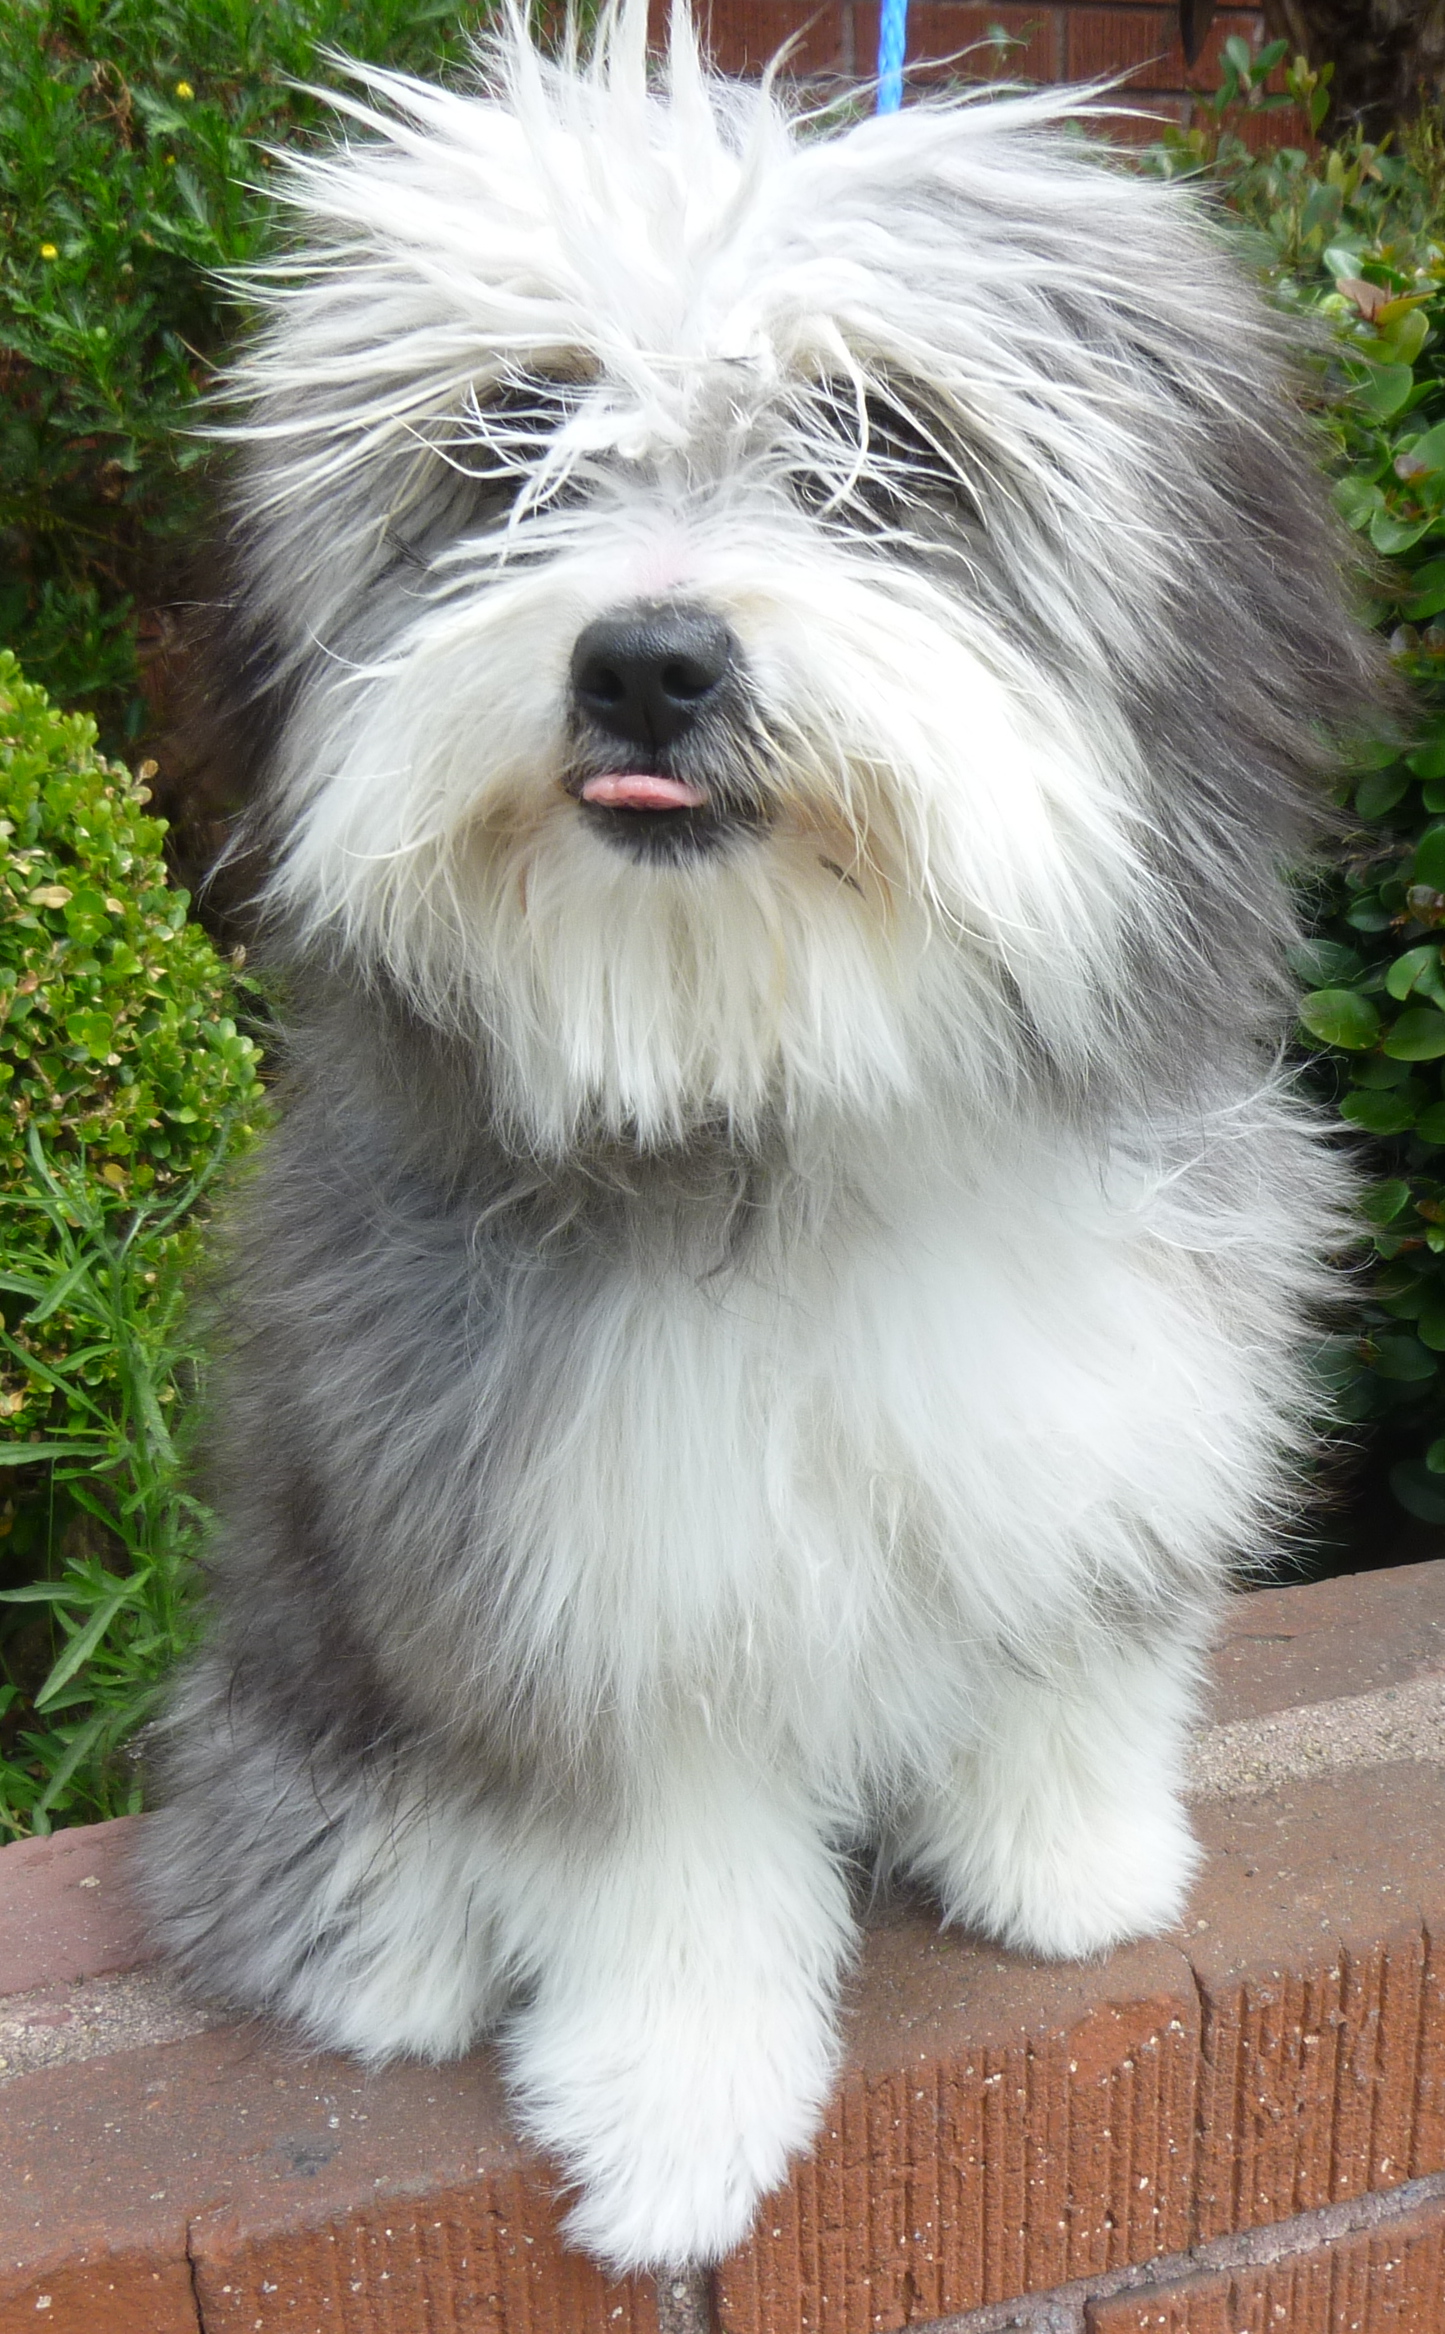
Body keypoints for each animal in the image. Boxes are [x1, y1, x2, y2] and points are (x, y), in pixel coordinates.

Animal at [147, 0, 1381, 2259]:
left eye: (878, 449)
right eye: (509, 443)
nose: (645, 659)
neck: (794, 1089)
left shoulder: (1117, 1415)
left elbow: (1073, 1650)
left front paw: (1071, 1869)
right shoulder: (570, 1563)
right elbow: (661, 1859)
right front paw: (676, 2114)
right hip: (305, 1658)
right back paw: (377, 1953)